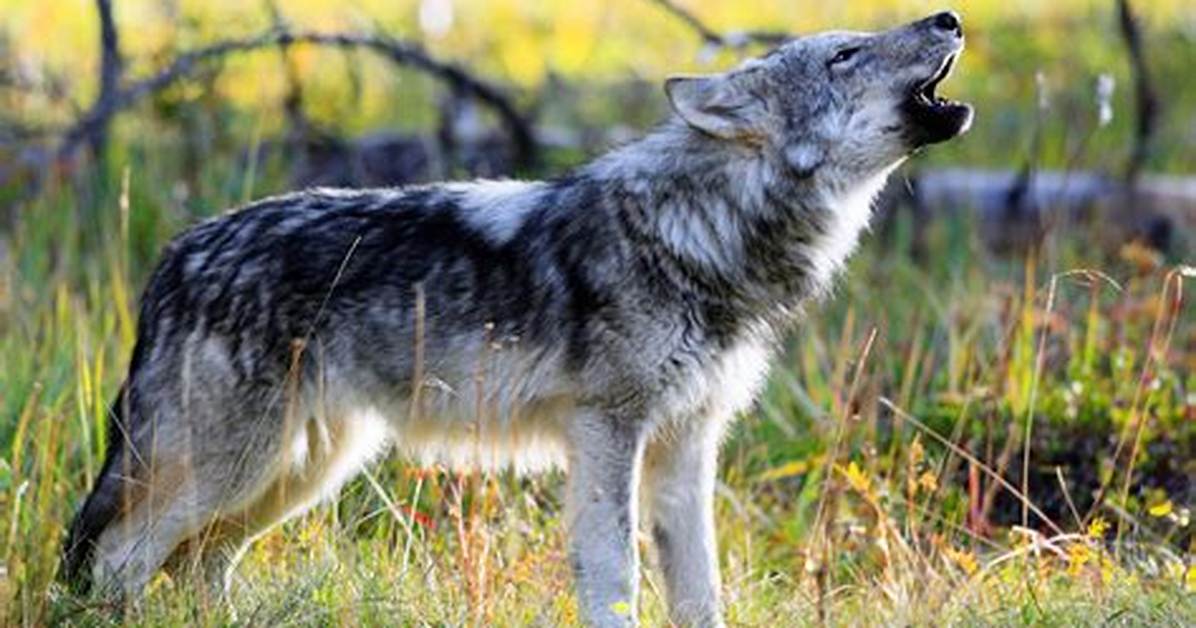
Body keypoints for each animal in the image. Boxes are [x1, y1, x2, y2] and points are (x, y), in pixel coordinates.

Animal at [62, 11, 972, 627]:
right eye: (844, 54)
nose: (948, 16)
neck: (702, 231)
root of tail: (176, 255)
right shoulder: (608, 431)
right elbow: (615, 574)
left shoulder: (687, 444)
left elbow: (700, 588)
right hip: (237, 468)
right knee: (121, 559)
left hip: (297, 472)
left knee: (198, 564)